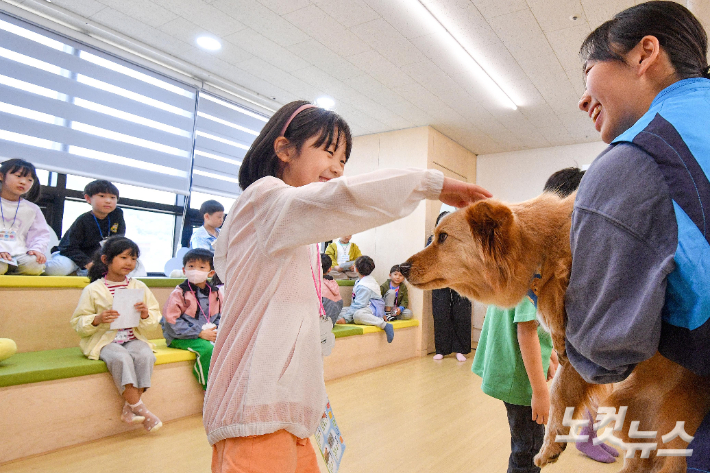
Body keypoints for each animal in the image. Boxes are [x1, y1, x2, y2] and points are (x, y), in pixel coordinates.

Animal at [404, 194, 708, 470]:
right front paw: (553, 443)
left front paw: (551, 441)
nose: (401, 267)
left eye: (443, 237)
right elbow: (560, 391)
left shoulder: (594, 345)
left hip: (672, 427)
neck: (546, 252)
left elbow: (559, 391)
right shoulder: (576, 352)